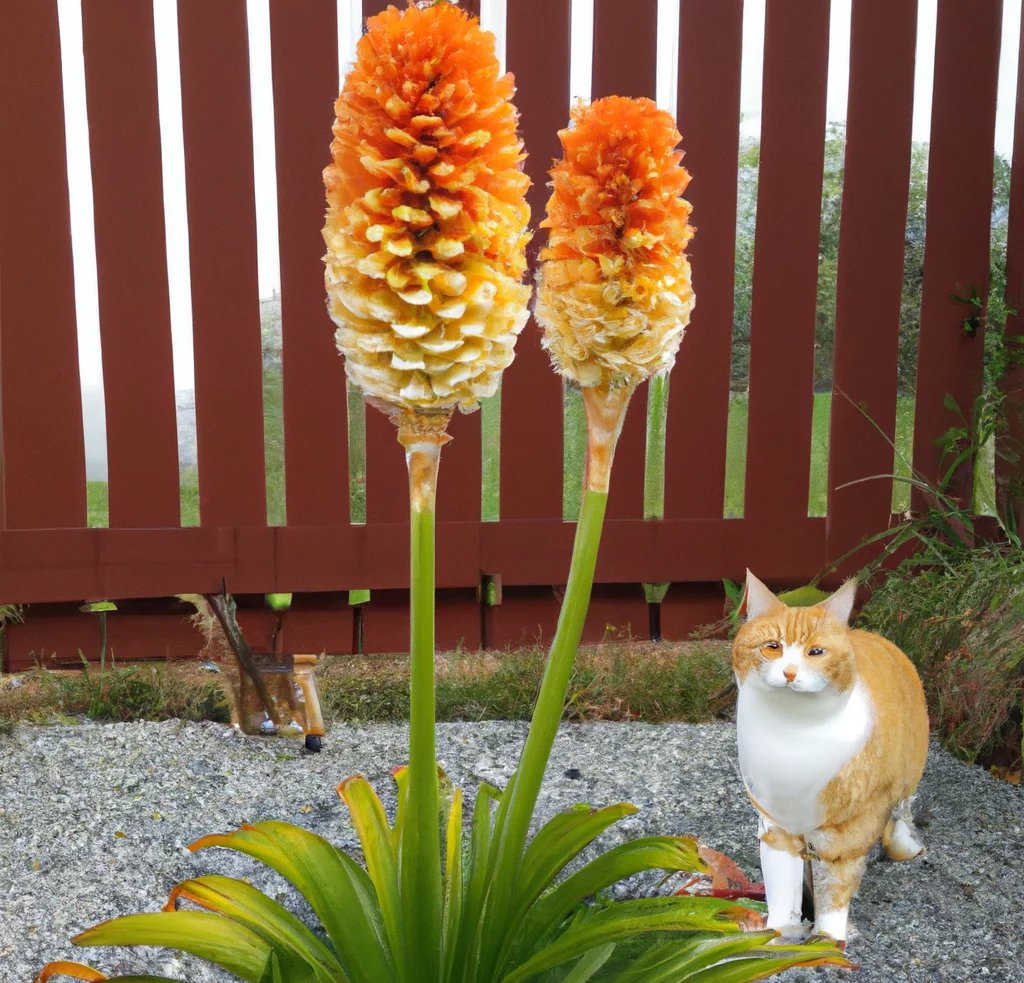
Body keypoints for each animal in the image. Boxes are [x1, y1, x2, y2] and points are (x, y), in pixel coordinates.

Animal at [733, 573, 933, 950]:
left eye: (816, 652)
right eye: (772, 647)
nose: (790, 673)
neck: (791, 733)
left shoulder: (848, 830)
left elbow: (836, 884)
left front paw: (825, 942)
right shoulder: (775, 824)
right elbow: (781, 882)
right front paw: (780, 934)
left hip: (905, 777)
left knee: (903, 807)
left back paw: (906, 844)